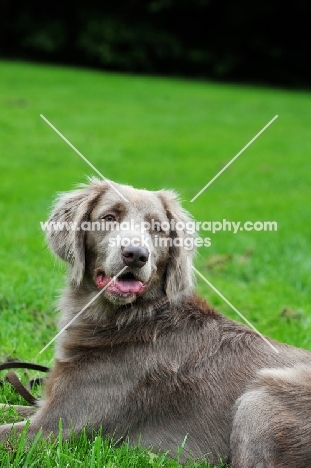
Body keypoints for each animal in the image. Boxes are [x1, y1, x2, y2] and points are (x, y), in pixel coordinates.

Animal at [0, 177, 311, 466]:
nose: (136, 254)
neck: (135, 317)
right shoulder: (46, 406)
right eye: (109, 217)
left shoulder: (57, 427)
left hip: (260, 397)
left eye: (158, 229)